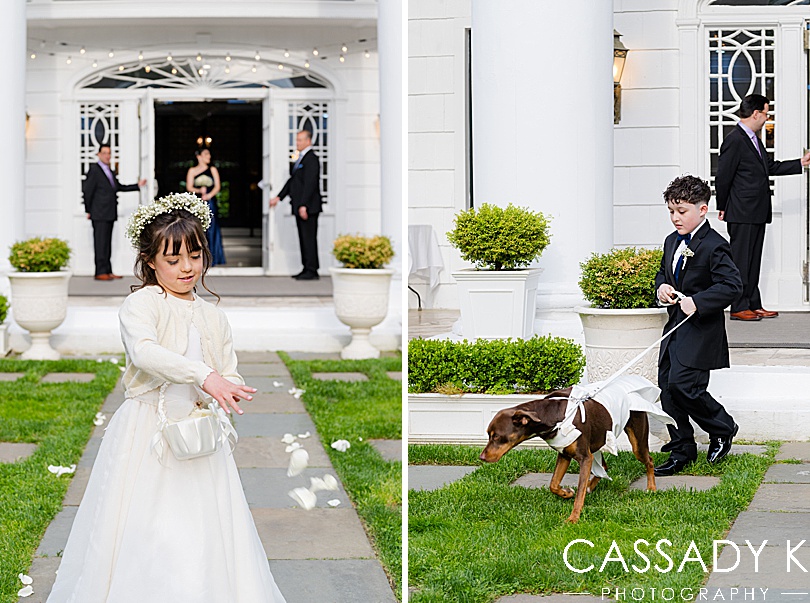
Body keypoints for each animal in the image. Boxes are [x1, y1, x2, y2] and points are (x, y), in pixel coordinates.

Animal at [476, 386, 652, 524]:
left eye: (497, 436)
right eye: (489, 434)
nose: (482, 458)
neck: (553, 415)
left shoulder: (584, 457)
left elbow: (579, 493)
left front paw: (573, 518)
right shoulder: (564, 454)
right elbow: (553, 484)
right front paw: (566, 493)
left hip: (637, 442)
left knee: (649, 460)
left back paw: (651, 488)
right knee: (604, 466)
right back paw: (591, 486)